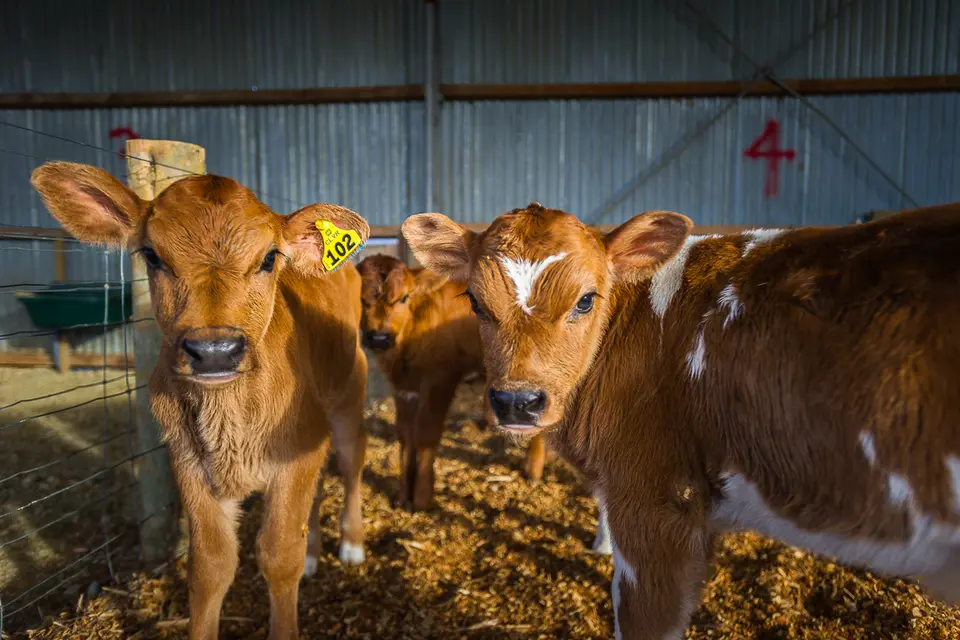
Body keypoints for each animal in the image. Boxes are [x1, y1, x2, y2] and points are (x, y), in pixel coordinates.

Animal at [31, 162, 371, 640]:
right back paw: (314, 555)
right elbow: (211, 568)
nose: (214, 351)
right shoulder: (190, 463)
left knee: (352, 463)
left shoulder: (297, 453)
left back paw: (352, 545)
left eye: (270, 258)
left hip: (347, 397)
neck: (230, 421)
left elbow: (278, 554)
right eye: (152, 255)